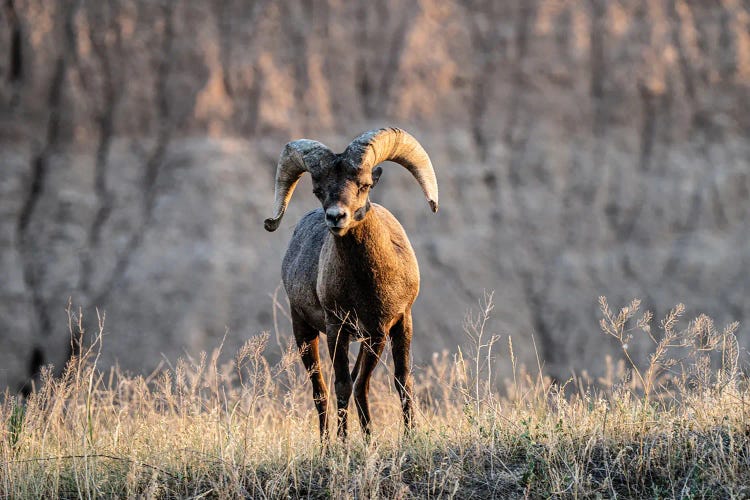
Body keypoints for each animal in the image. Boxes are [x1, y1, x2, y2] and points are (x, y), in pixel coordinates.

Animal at [268, 128, 438, 438]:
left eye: (365, 185)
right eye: (318, 190)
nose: (336, 217)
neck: (368, 285)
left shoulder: (392, 325)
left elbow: (398, 382)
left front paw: (406, 437)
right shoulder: (339, 329)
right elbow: (345, 385)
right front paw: (346, 442)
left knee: (357, 383)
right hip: (304, 330)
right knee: (321, 391)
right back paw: (326, 444)